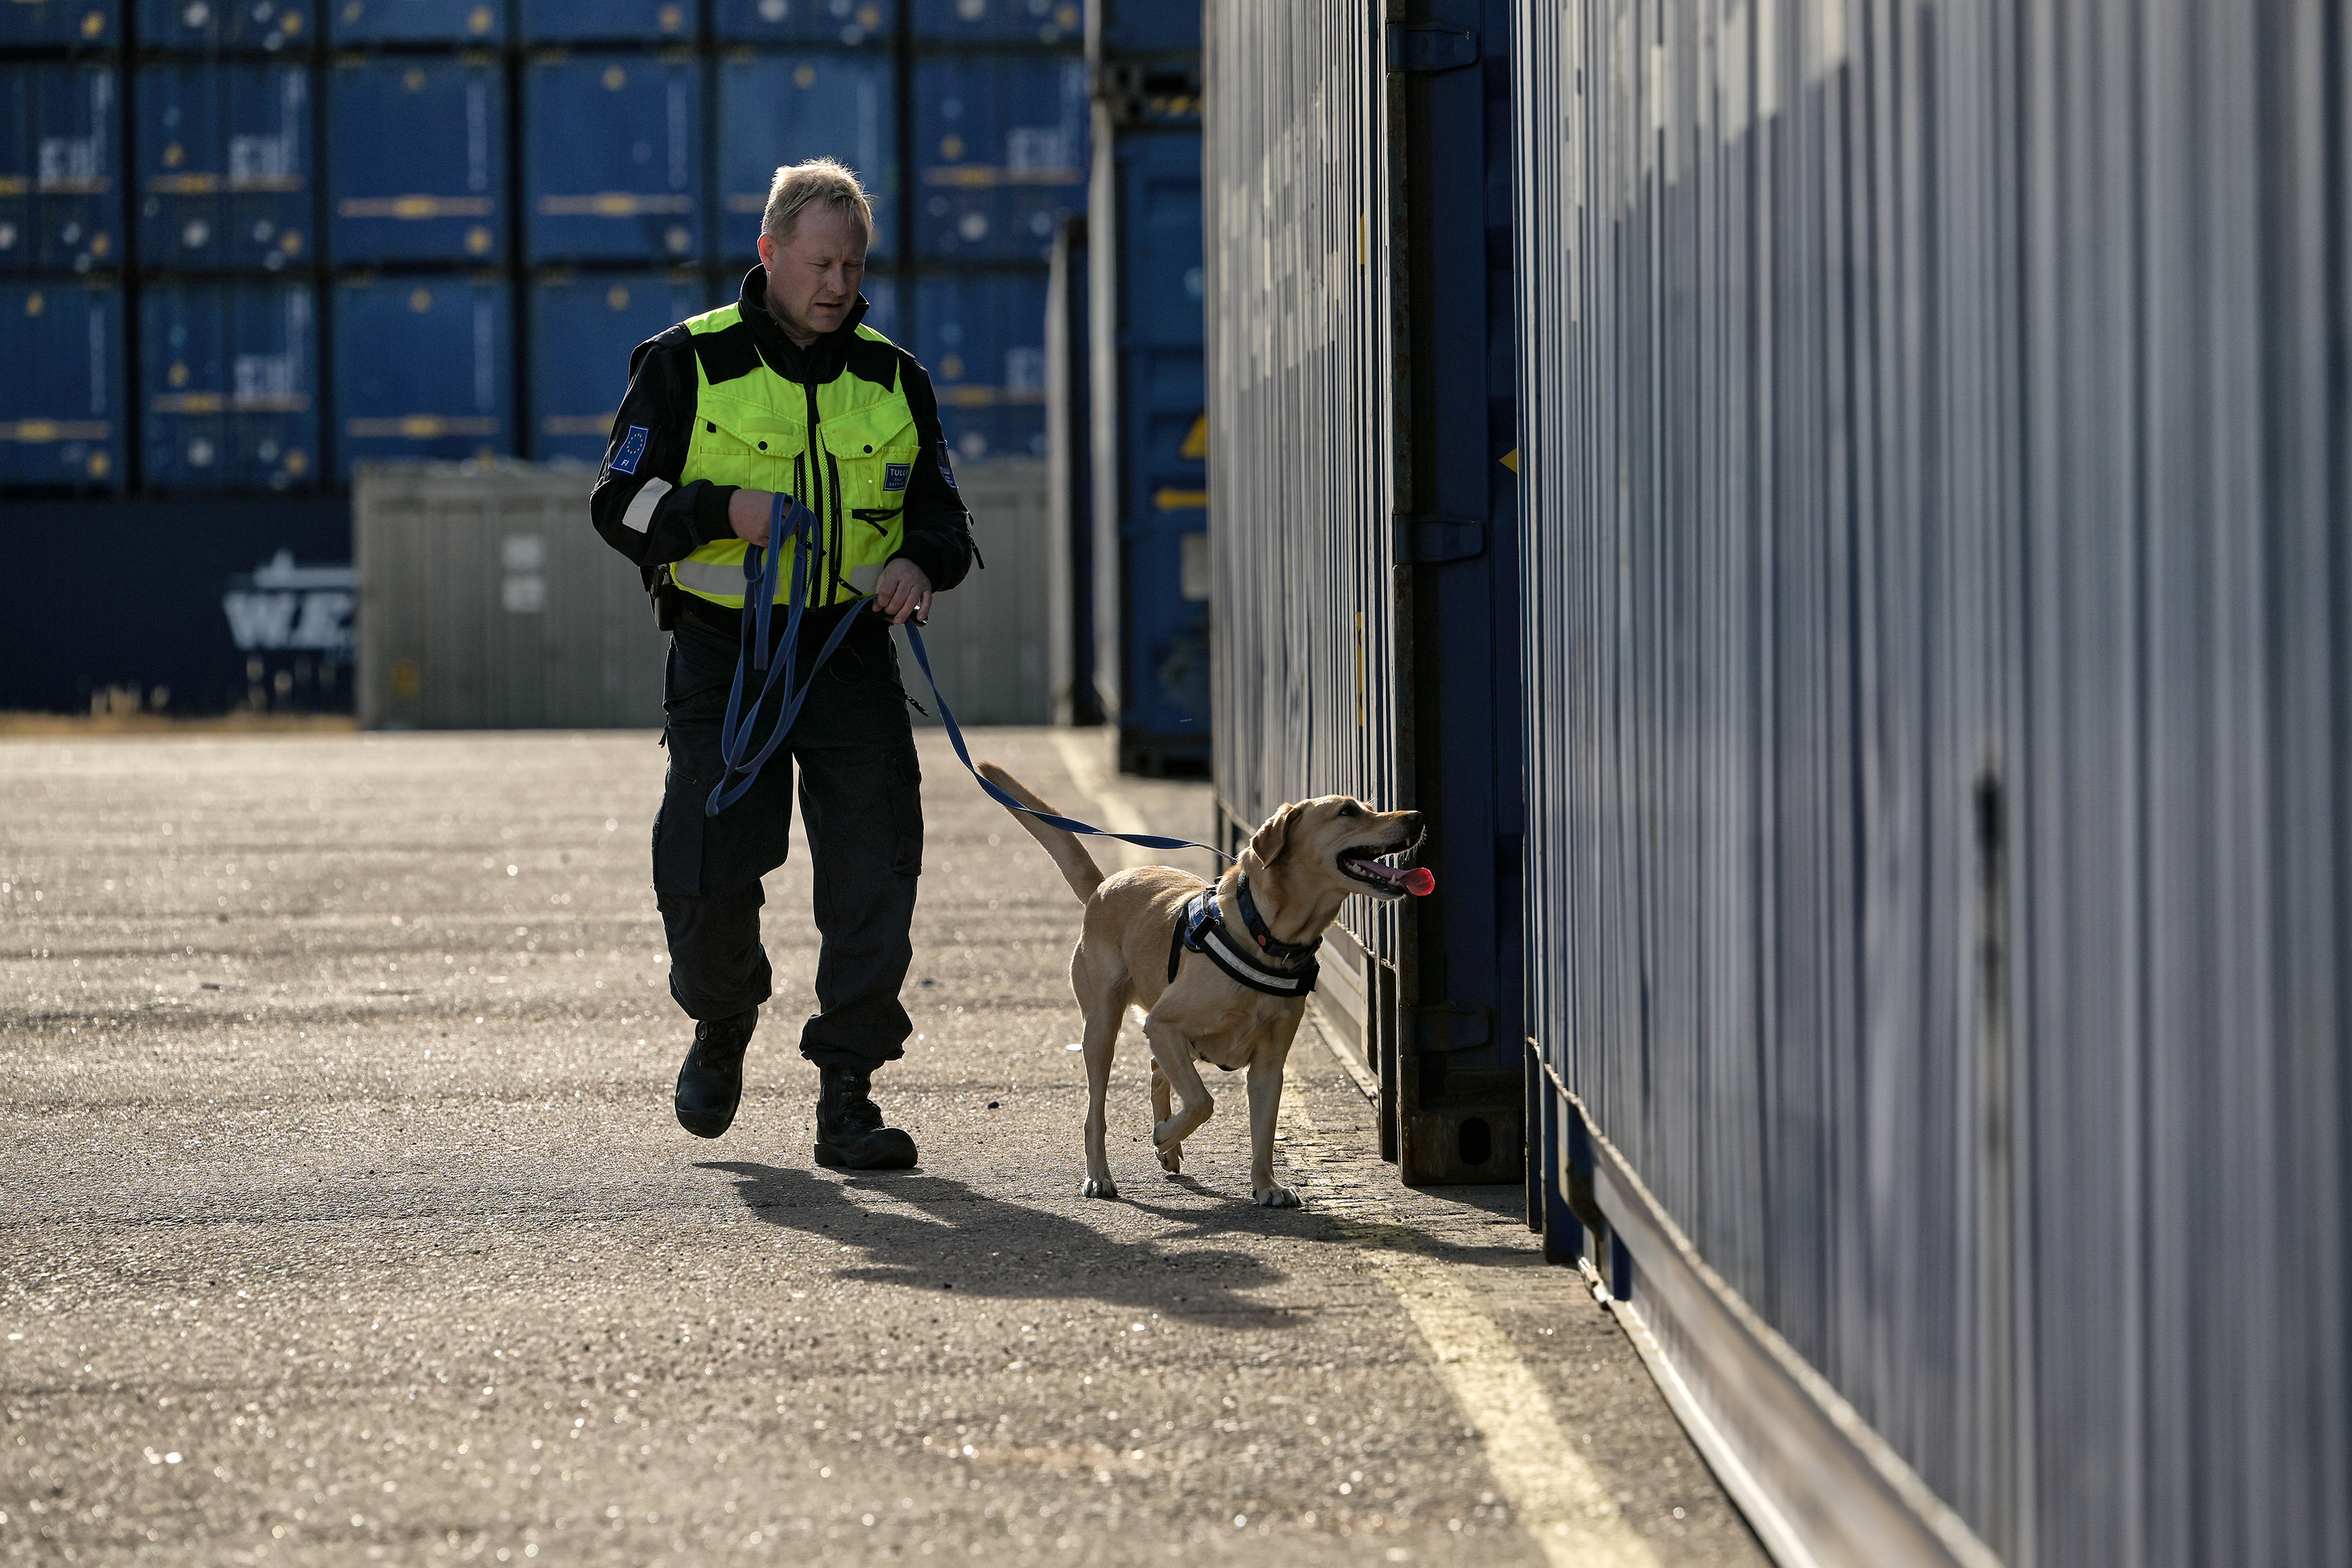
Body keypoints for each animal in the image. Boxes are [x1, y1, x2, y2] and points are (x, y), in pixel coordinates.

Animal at [974, 766, 1430, 1213]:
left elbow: (1263, 1133)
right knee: (1097, 1112)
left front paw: (1266, 1185)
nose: (1417, 817)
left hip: (1177, 1043)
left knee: (1156, 1069)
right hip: (1103, 1028)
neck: (1267, 937)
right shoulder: (1164, 1024)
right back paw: (1102, 1174)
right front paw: (1163, 1134)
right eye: (1347, 812)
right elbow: (1201, 1101)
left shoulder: (1269, 1064)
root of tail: (1104, 886)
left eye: (1367, 806)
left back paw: (1169, 1150)